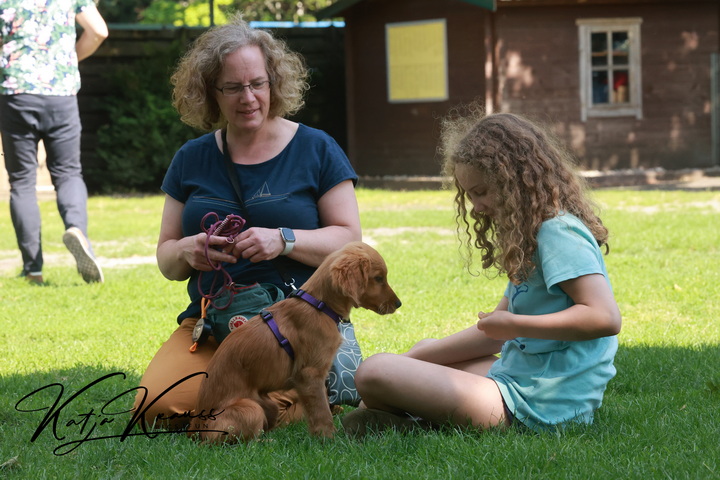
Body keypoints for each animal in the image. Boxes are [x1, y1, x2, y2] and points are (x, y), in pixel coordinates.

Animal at [188, 242, 402, 444]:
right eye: (378, 278)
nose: (399, 304)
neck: (319, 305)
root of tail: (194, 429)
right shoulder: (310, 375)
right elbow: (322, 411)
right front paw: (330, 439)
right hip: (250, 408)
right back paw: (270, 442)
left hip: (270, 405)